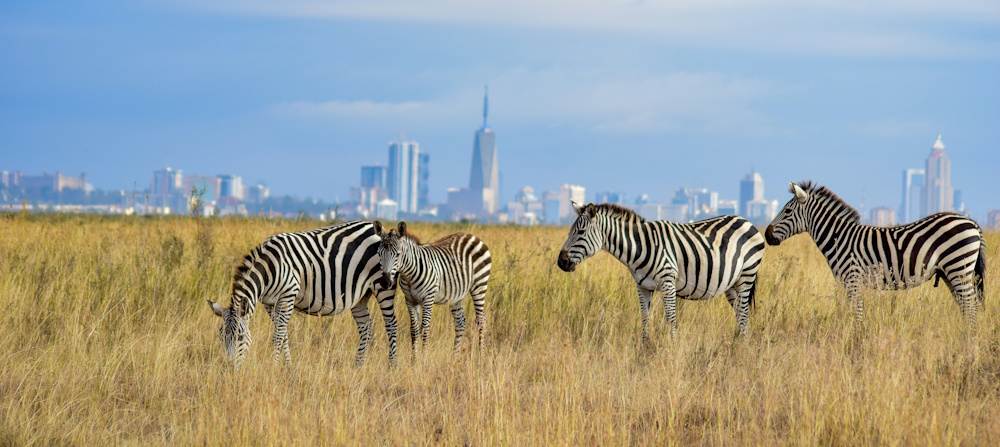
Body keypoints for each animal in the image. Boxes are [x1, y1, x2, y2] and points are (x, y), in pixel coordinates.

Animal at [206, 220, 398, 368]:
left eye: (240, 336)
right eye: (221, 336)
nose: (230, 368)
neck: (269, 268)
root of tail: (373, 227)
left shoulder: (288, 295)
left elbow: (278, 335)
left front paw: (274, 367)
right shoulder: (269, 303)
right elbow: (284, 335)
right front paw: (288, 367)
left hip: (383, 286)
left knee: (391, 324)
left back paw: (392, 366)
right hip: (360, 295)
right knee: (366, 327)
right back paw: (358, 366)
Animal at [374, 221, 490, 356]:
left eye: (398, 254)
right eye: (379, 253)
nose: (385, 282)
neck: (409, 275)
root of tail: (472, 236)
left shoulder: (428, 299)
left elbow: (425, 330)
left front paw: (424, 358)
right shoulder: (409, 300)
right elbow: (414, 330)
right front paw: (414, 359)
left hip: (479, 285)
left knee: (481, 321)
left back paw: (481, 355)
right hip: (456, 295)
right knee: (460, 323)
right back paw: (455, 356)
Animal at [556, 203, 764, 344]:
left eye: (581, 232)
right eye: (570, 231)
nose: (560, 262)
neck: (640, 247)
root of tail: (747, 221)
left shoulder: (667, 284)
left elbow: (671, 320)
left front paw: (672, 349)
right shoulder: (643, 287)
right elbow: (645, 319)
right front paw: (644, 350)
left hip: (746, 276)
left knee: (744, 313)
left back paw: (740, 348)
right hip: (732, 284)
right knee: (740, 314)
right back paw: (738, 344)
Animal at [764, 180, 984, 328]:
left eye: (788, 211)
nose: (767, 234)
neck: (838, 238)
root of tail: (972, 222)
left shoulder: (852, 279)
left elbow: (857, 313)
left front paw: (856, 340)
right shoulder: (848, 282)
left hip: (958, 266)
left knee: (971, 305)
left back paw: (968, 338)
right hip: (950, 273)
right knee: (965, 306)